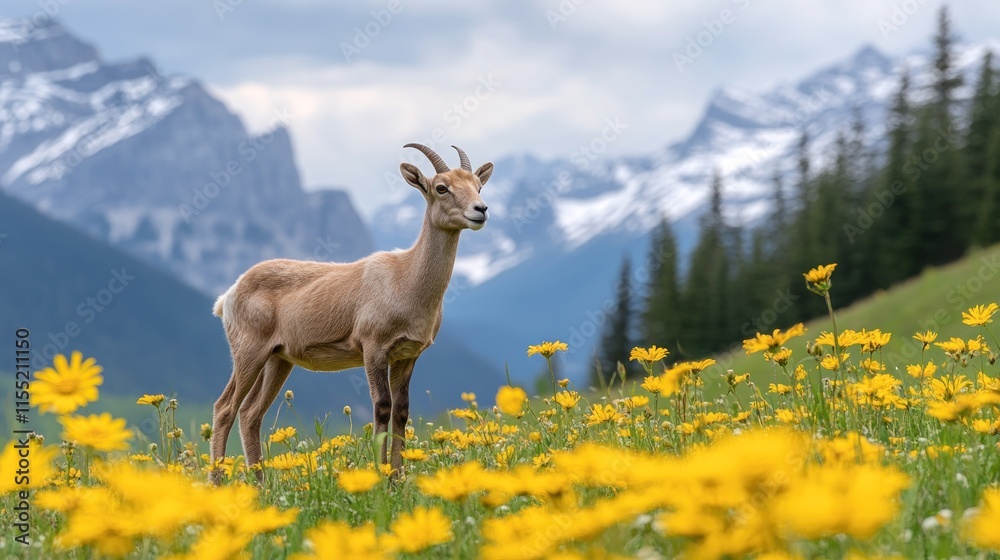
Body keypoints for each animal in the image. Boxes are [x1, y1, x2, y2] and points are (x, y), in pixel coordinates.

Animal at [208, 143, 492, 483]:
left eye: (478, 186)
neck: (405, 278)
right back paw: (218, 483)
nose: (480, 210)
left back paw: (261, 485)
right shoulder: (373, 347)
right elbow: (382, 406)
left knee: (250, 413)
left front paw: (397, 478)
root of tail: (228, 296)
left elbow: (402, 411)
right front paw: (382, 476)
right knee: (225, 408)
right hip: (248, 351)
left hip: (277, 359)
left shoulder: (407, 355)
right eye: (441, 187)